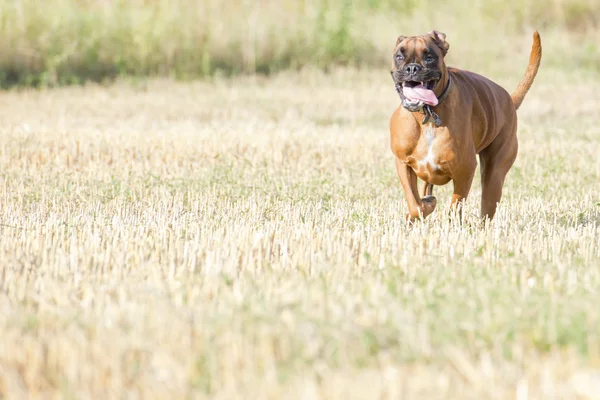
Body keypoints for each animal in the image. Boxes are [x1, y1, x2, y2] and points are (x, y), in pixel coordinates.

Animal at [392, 29, 540, 220]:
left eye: (429, 58)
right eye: (399, 56)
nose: (412, 68)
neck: (427, 115)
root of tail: (509, 99)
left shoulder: (464, 172)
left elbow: (455, 207)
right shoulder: (403, 164)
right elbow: (414, 204)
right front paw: (424, 207)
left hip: (494, 177)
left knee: (486, 211)